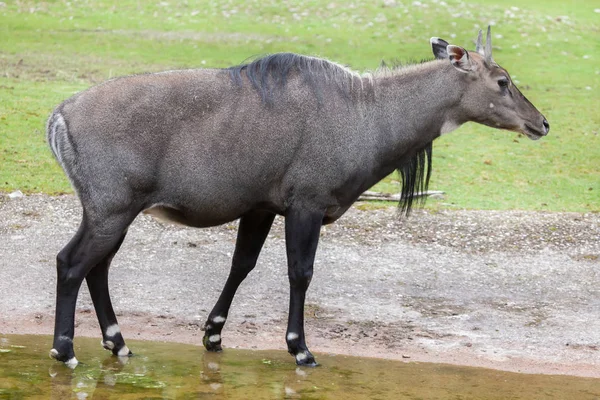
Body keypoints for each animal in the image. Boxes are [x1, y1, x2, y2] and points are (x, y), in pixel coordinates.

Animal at [47, 26, 548, 368]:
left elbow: (242, 265)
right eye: (502, 81)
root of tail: (60, 116)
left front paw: (213, 335)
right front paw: (301, 348)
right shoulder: (306, 204)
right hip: (111, 210)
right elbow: (300, 273)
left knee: (98, 267)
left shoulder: (261, 208)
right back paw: (65, 350)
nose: (541, 123)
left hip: (114, 213)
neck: (367, 113)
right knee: (71, 263)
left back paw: (118, 342)